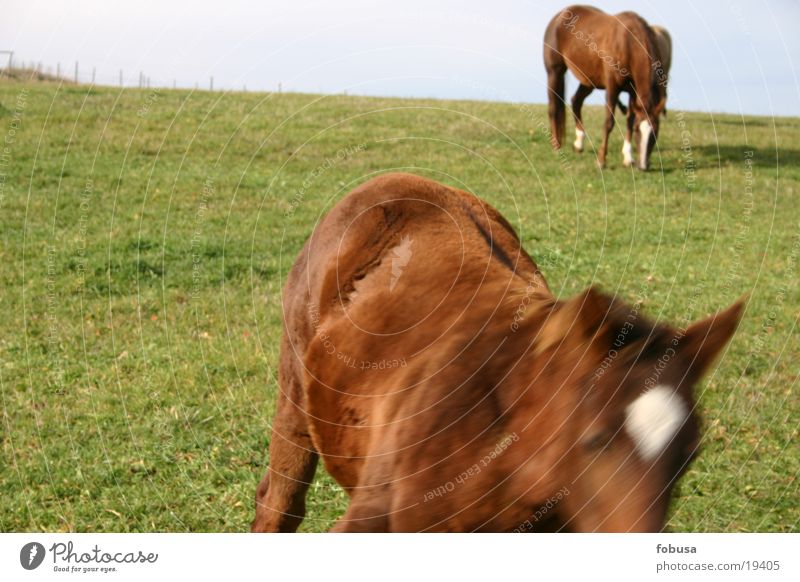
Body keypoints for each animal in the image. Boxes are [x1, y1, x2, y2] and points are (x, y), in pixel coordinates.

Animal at [544, 5, 668, 170]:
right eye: (638, 130)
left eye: (656, 131)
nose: (643, 166)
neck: (628, 44)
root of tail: (559, 16)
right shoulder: (612, 88)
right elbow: (609, 122)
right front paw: (601, 160)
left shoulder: (633, 92)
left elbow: (629, 120)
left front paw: (628, 158)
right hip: (554, 72)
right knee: (553, 108)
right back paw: (556, 145)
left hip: (589, 80)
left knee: (576, 101)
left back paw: (579, 143)